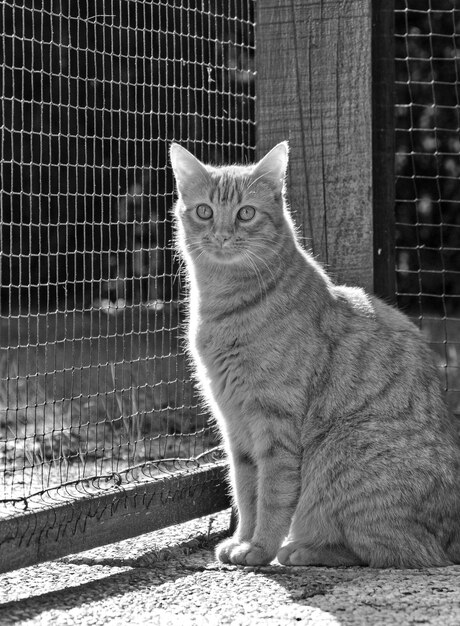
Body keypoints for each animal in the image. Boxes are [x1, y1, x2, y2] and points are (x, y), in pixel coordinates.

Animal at [169, 140, 460, 564]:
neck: (225, 304)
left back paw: (300, 550)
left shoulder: (275, 425)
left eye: (246, 213)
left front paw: (259, 548)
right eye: (204, 211)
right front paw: (241, 540)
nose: (221, 235)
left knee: (394, 552)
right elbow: (244, 492)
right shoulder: (235, 427)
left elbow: (271, 497)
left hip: (342, 451)